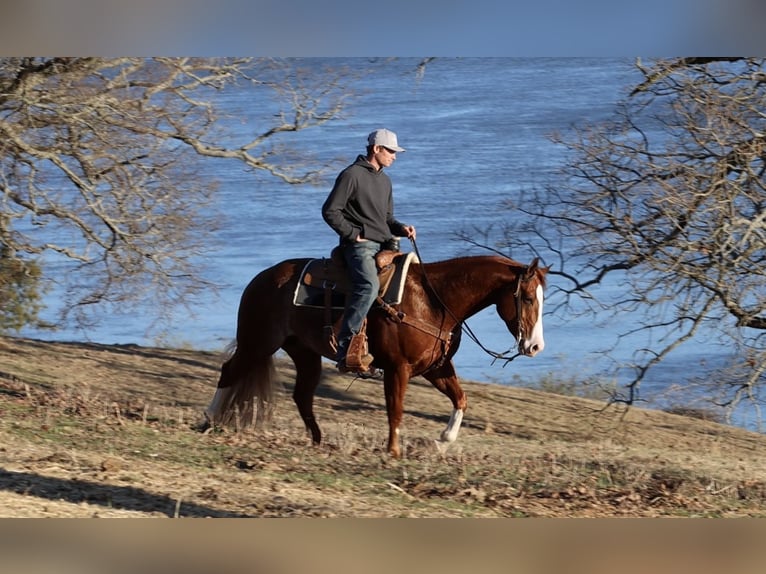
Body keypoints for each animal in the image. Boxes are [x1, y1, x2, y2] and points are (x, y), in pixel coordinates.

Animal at [203, 252, 548, 458]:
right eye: (528, 298)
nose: (535, 347)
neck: (433, 301)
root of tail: (262, 278)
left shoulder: (435, 368)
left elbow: (460, 399)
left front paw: (441, 440)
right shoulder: (398, 368)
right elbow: (395, 409)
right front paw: (393, 451)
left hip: (304, 353)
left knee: (302, 395)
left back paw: (318, 439)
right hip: (257, 343)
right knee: (229, 371)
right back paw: (209, 420)